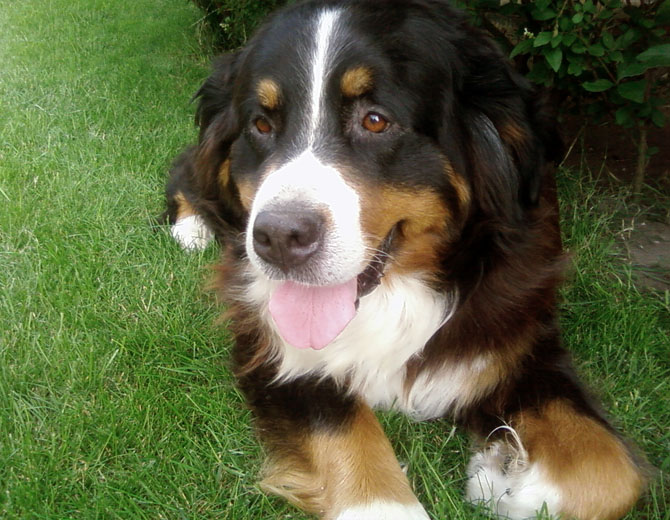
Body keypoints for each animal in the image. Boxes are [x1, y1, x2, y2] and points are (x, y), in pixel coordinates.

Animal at [162, 1, 647, 518]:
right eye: (261, 124)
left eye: (376, 121)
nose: (277, 236)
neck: (398, 292)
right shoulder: (274, 346)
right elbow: (352, 444)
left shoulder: (520, 339)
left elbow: (609, 470)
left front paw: (505, 479)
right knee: (186, 168)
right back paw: (192, 228)